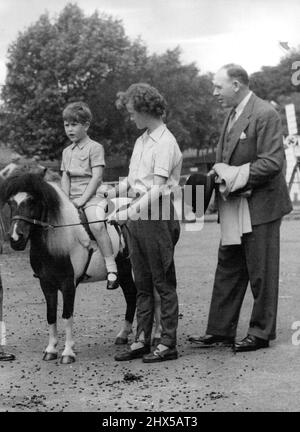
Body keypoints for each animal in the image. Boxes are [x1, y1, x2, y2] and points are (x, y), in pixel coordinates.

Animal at [0, 174, 138, 362]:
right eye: (11, 203)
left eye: (32, 202)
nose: (15, 239)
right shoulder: (46, 284)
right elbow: (51, 315)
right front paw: (51, 350)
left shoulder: (68, 284)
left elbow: (67, 315)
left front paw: (67, 353)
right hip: (124, 273)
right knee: (131, 296)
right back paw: (123, 335)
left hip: (126, 271)